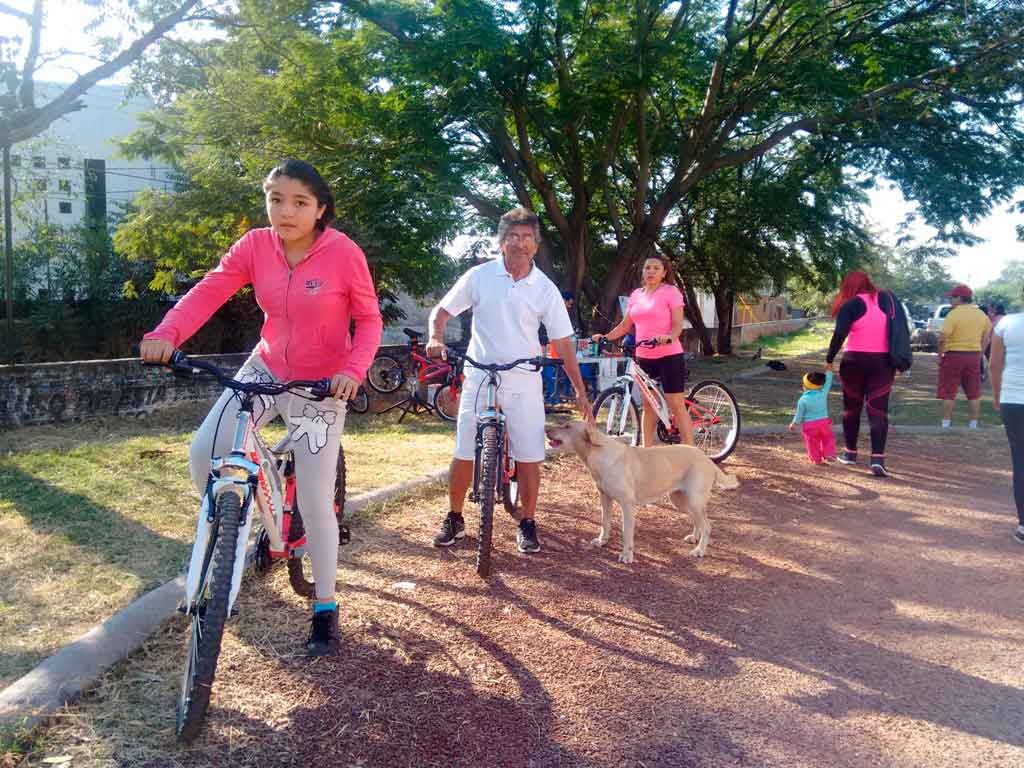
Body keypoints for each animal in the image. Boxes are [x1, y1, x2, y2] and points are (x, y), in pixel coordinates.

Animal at [548, 421, 741, 565]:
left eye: (567, 426)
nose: (546, 429)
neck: (598, 453)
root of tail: (707, 459)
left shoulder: (627, 505)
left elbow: (626, 533)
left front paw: (627, 556)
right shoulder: (605, 498)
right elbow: (605, 522)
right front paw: (602, 541)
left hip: (694, 500)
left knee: (707, 526)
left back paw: (699, 550)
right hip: (681, 501)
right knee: (698, 521)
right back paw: (694, 538)